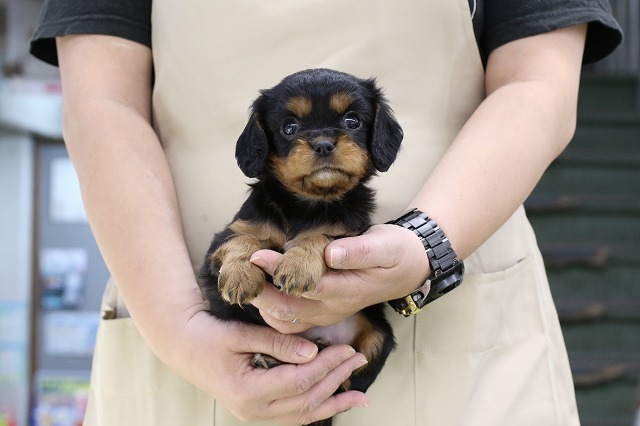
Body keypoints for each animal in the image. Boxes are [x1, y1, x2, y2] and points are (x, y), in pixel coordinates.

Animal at [198, 68, 402, 424]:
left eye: (352, 121)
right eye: (289, 128)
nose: (323, 144)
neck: (307, 204)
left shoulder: (352, 234)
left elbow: (319, 237)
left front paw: (296, 265)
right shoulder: (226, 238)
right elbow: (243, 239)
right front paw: (240, 276)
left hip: (379, 337)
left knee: (343, 386)